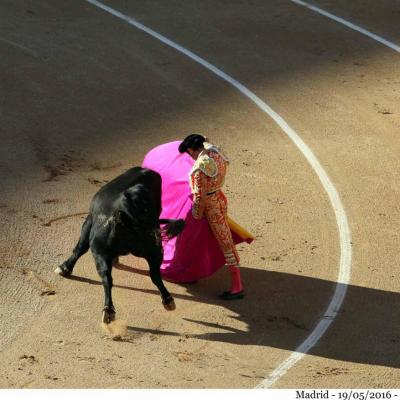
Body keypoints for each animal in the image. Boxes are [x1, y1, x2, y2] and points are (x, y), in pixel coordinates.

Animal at [54, 167, 184, 324]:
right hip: (153, 250)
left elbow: (80, 248)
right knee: (154, 274)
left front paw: (64, 268)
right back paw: (167, 300)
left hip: (101, 250)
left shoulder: (89, 226)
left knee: (106, 277)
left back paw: (108, 310)